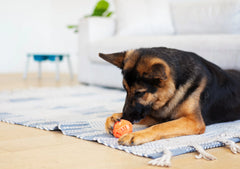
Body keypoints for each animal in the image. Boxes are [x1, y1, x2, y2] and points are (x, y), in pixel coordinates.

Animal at [98, 46, 240, 146]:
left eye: (140, 93)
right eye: (125, 89)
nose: (125, 118)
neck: (174, 90)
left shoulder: (194, 121)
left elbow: (160, 126)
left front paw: (136, 135)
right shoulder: (158, 116)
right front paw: (113, 118)